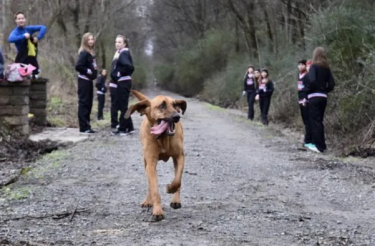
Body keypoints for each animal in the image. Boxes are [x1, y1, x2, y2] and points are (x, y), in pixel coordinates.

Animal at [125, 90, 188, 221]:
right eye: (162, 105)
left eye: (175, 105)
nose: (177, 116)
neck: (163, 138)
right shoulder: (151, 163)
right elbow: (154, 188)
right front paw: (157, 211)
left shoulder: (179, 157)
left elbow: (177, 180)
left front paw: (170, 188)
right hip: (145, 162)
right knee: (150, 184)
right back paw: (148, 201)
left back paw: (176, 200)